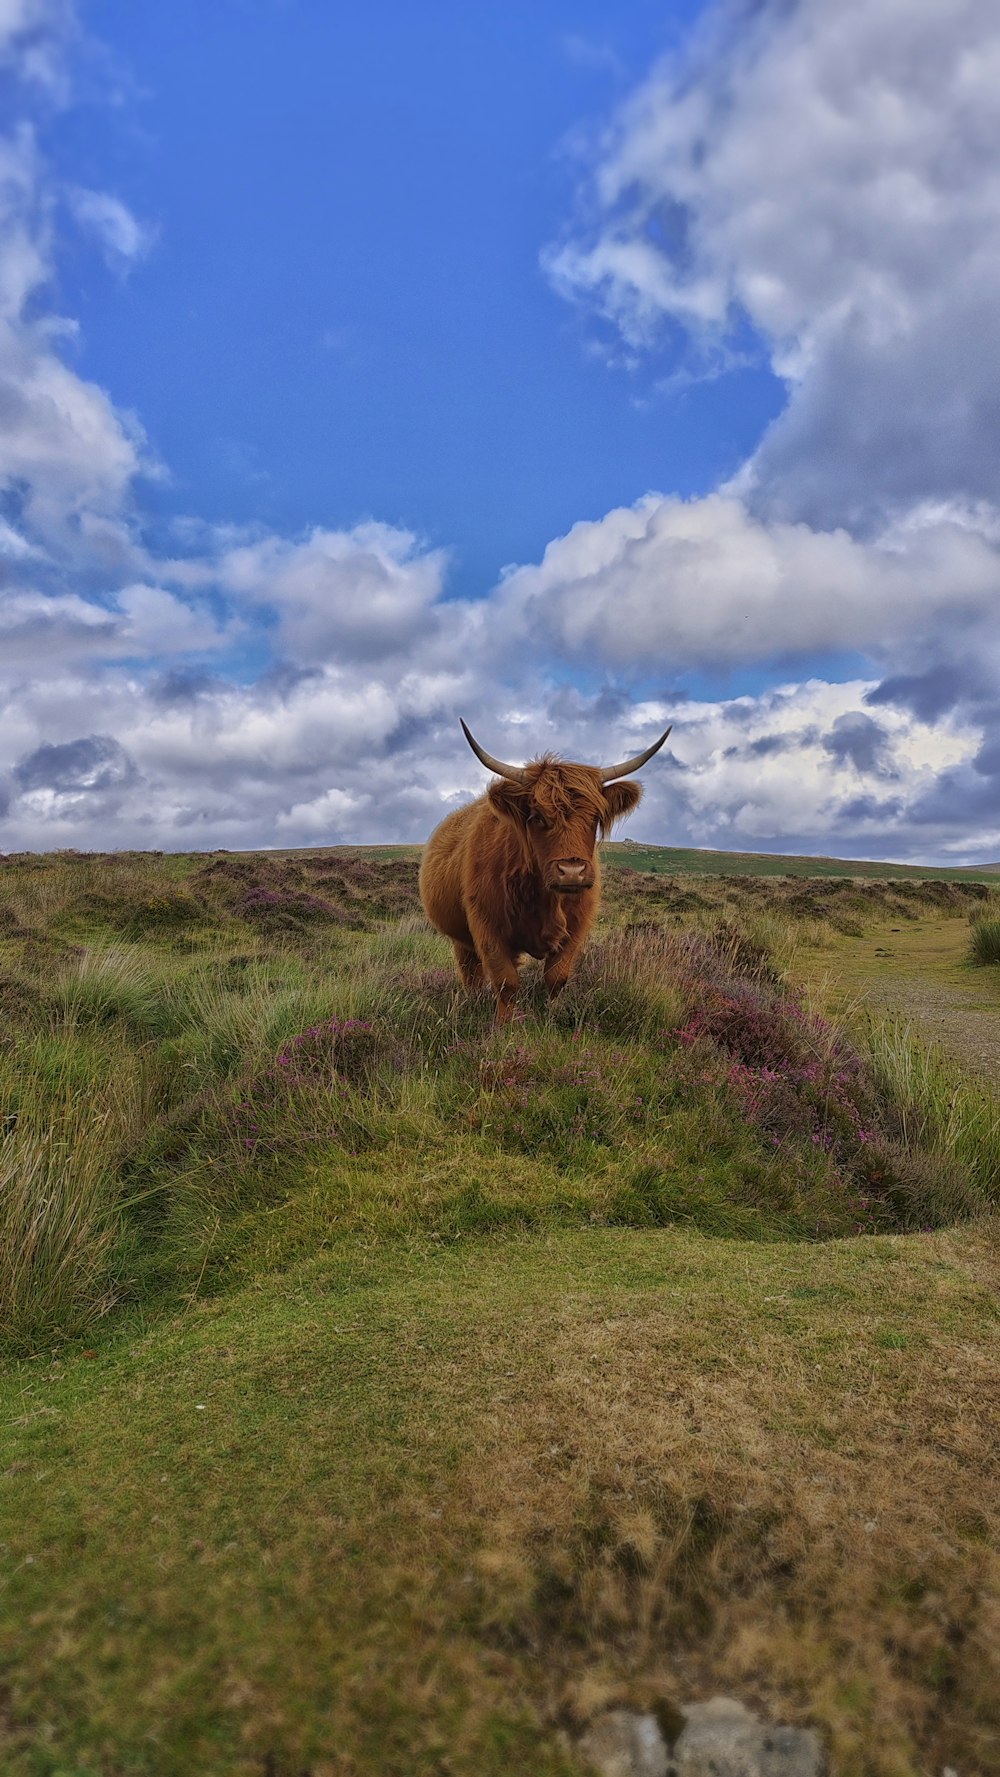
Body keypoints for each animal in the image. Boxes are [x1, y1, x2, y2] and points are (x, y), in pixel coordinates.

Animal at [419, 717, 667, 1023]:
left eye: (595, 818)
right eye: (537, 816)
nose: (571, 871)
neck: (542, 897)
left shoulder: (576, 927)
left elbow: (556, 977)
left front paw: (552, 1016)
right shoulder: (487, 927)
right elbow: (506, 981)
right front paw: (503, 1026)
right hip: (460, 938)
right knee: (470, 972)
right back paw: (472, 1002)